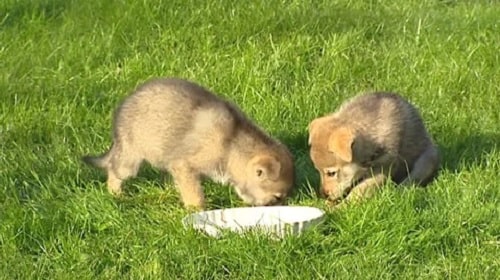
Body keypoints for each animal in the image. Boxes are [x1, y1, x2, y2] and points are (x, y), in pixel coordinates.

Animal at [83, 77, 294, 209]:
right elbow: (195, 196)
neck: (231, 146)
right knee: (113, 170)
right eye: (277, 197)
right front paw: (197, 212)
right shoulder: (185, 166)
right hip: (130, 159)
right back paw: (116, 195)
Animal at [306, 93, 440, 205]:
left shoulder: (384, 168)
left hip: (428, 159)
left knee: (411, 180)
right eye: (317, 170)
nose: (324, 195)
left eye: (331, 173)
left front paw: (340, 207)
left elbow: (360, 190)